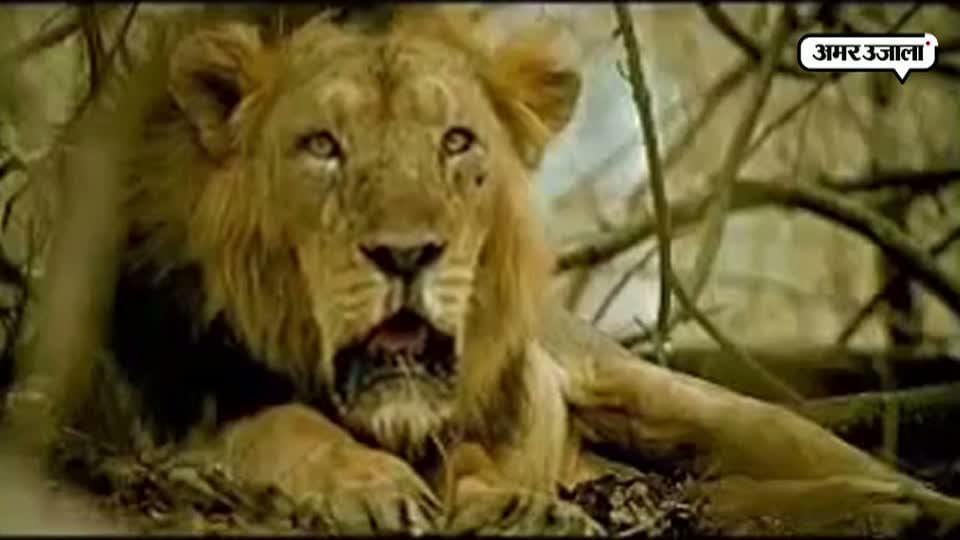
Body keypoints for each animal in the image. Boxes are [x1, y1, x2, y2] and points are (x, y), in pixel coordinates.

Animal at [10, 6, 960, 536]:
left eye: (457, 141)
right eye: (322, 146)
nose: (406, 254)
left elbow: (472, 458)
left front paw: (515, 508)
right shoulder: (166, 419)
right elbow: (284, 427)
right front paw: (372, 489)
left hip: (702, 407)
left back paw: (912, 507)